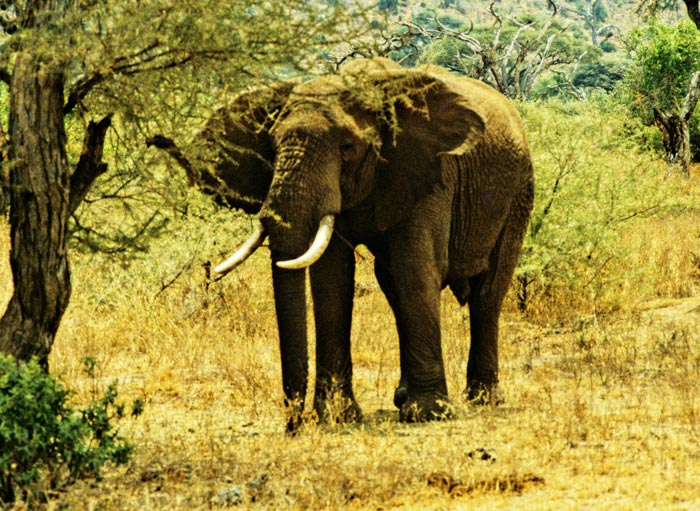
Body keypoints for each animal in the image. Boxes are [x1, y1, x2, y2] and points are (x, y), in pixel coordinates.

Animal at [145, 56, 532, 432]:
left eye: (348, 148)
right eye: (271, 147)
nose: (294, 425)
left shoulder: (430, 173)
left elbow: (415, 270)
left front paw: (428, 414)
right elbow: (332, 280)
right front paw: (337, 416)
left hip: (519, 192)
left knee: (488, 291)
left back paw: (482, 398)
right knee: (391, 286)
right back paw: (402, 397)